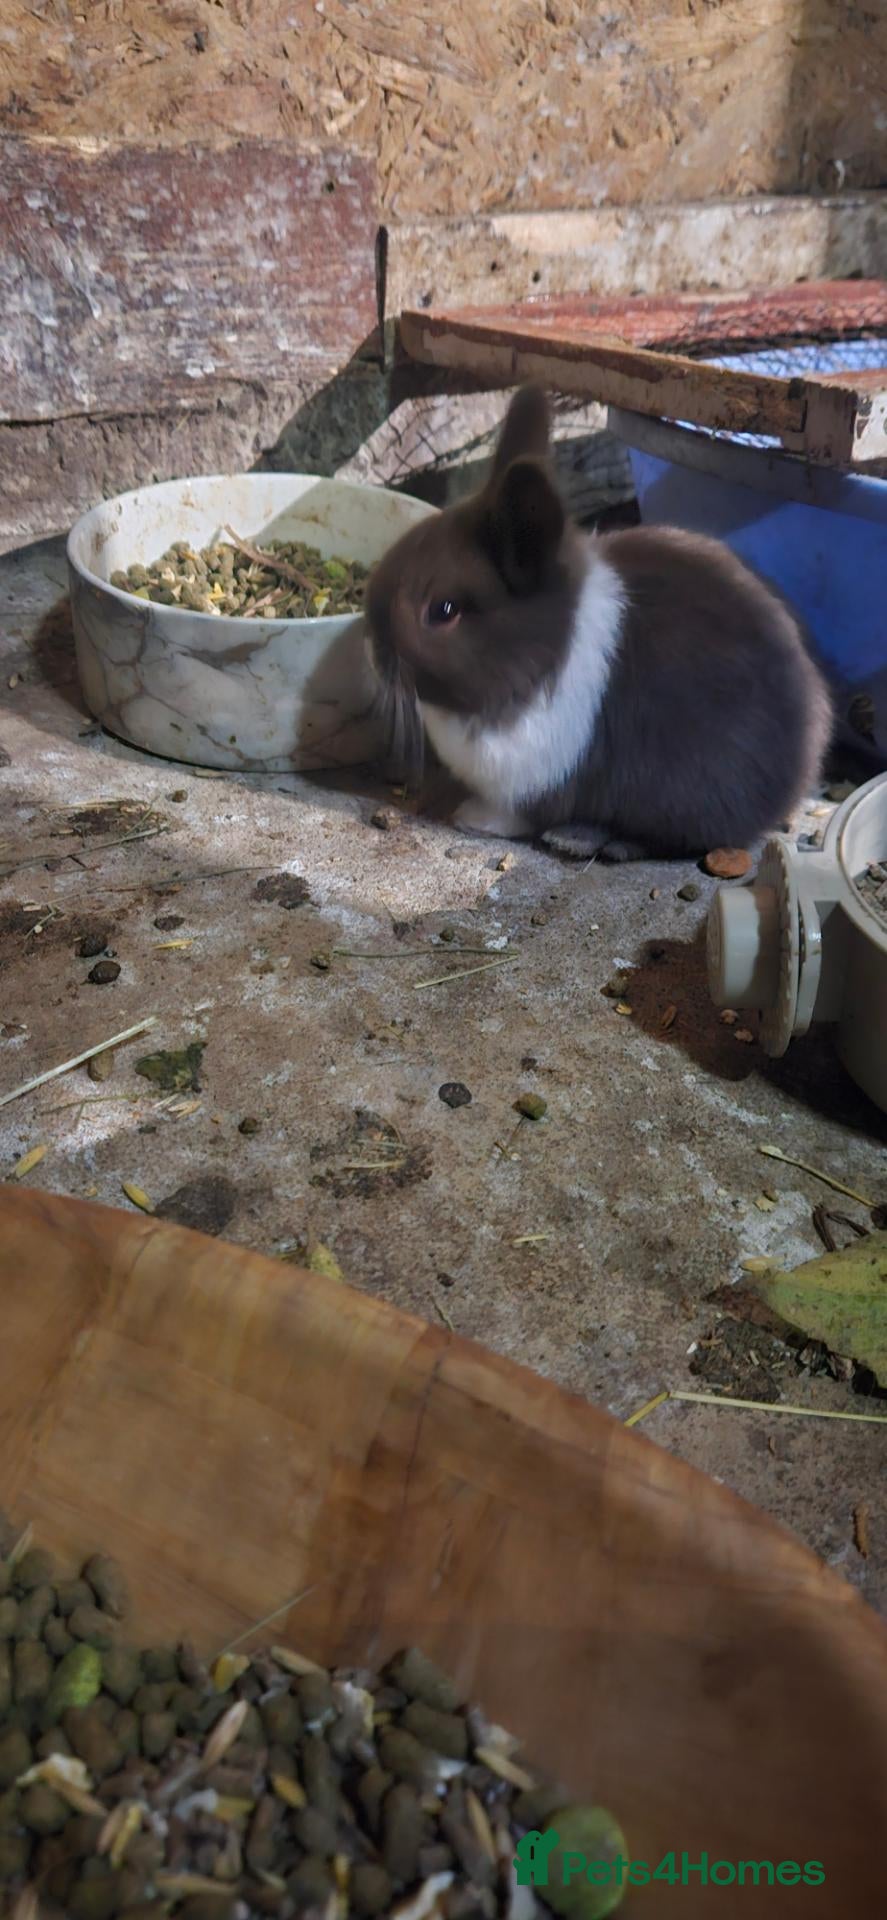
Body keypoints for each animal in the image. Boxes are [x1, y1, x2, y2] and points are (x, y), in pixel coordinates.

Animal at [366, 384, 833, 860]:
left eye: (442, 611)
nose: (372, 646)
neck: (539, 653)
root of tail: (806, 757)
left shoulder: (536, 775)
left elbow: (520, 812)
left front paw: (474, 818)